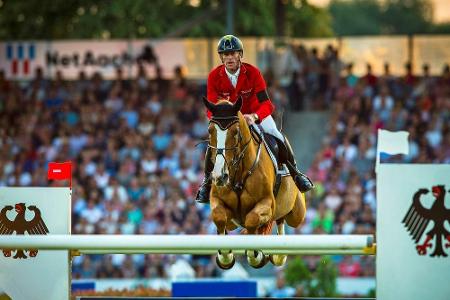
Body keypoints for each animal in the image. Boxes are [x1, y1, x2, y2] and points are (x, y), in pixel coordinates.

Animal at [203, 97, 306, 268]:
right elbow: (219, 217)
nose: (220, 176)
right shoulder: (218, 201)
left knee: (283, 220)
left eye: (236, 132)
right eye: (210, 131)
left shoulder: (267, 203)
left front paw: (255, 255)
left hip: (297, 214)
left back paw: (278, 255)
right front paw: (225, 256)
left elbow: (252, 219)